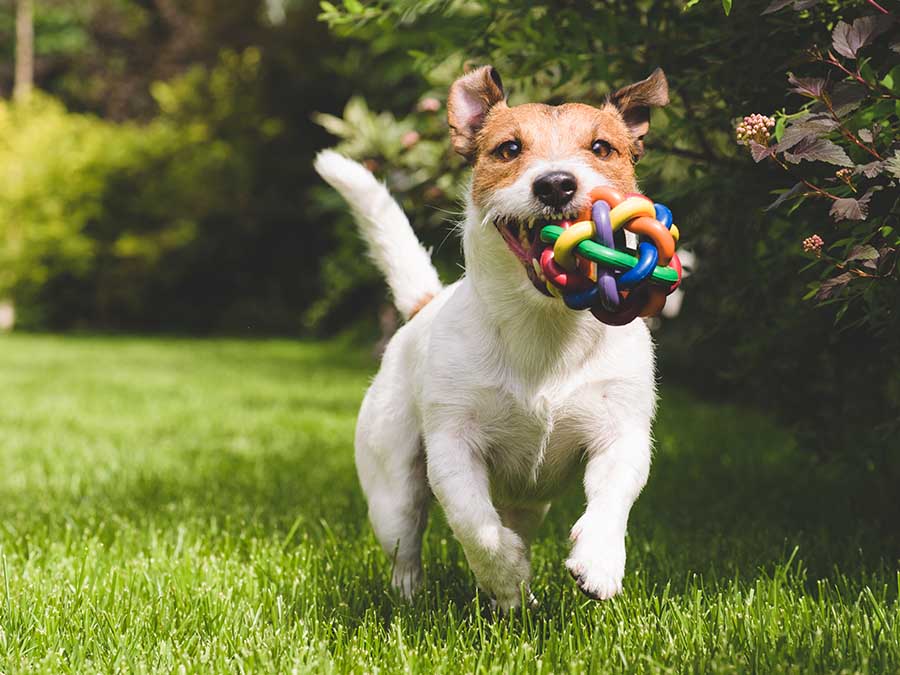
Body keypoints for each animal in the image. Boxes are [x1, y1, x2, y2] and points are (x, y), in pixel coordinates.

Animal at [314, 66, 668, 608]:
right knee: (406, 541)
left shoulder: (621, 432)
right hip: (392, 485)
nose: (556, 183)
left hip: (530, 502)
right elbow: (474, 524)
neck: (544, 325)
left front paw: (599, 561)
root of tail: (424, 305)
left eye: (602, 147)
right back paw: (419, 594)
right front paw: (505, 574)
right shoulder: (452, 446)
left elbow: (613, 497)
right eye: (509, 149)